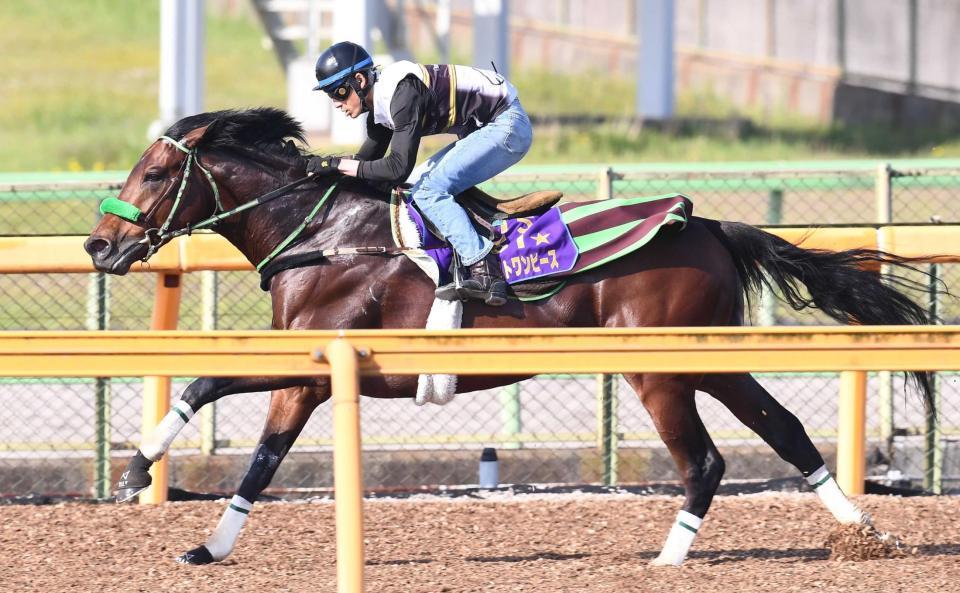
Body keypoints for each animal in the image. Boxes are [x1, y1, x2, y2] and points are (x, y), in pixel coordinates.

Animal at [84, 108, 936, 568]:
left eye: (154, 174)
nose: (97, 245)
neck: (324, 234)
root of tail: (711, 223)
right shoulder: (305, 376)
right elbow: (251, 451)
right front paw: (204, 540)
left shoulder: (322, 366)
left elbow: (216, 398)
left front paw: (139, 471)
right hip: (711, 357)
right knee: (785, 428)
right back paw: (867, 531)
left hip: (659, 368)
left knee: (705, 460)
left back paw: (668, 556)